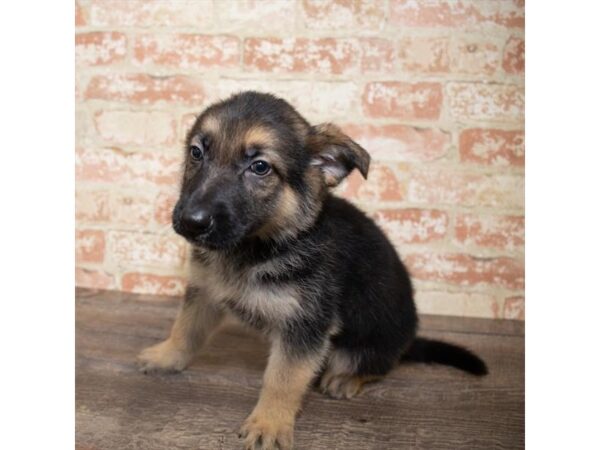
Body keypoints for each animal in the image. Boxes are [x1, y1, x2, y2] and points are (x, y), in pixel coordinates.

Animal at [137, 91, 488, 450]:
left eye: (260, 167)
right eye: (197, 152)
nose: (191, 222)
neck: (256, 248)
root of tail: (409, 341)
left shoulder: (304, 326)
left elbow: (283, 379)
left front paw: (269, 422)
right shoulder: (205, 291)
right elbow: (186, 328)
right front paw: (167, 356)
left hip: (365, 346)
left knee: (379, 365)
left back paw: (347, 378)